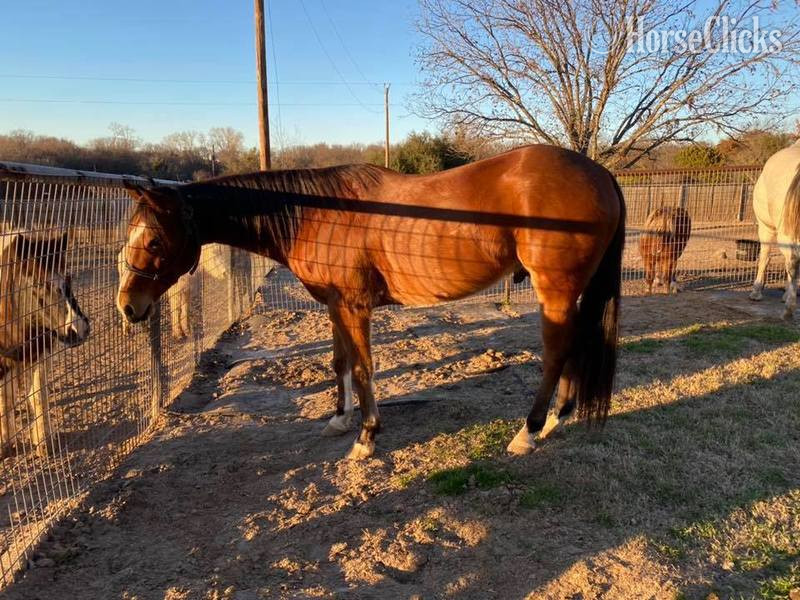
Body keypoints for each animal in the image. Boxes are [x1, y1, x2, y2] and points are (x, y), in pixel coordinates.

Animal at [0, 232, 90, 458]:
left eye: (68, 279)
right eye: (38, 284)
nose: (79, 329)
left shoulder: (40, 354)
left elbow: (38, 395)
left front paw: (44, 441)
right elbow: (5, 399)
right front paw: (4, 444)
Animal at [117, 145, 625, 460]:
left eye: (155, 240)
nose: (127, 306)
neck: (313, 213)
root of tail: (600, 174)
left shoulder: (353, 307)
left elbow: (363, 369)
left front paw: (366, 438)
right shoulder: (333, 306)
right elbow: (339, 362)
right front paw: (340, 420)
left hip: (554, 290)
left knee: (556, 352)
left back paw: (528, 432)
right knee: (573, 348)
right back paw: (558, 419)